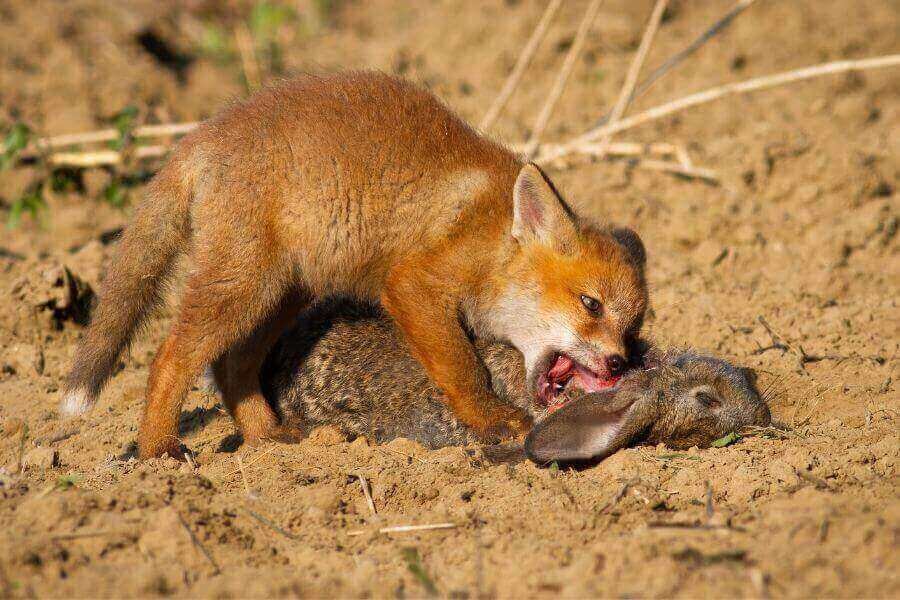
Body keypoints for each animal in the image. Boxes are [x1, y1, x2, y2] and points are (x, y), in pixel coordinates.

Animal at [59, 71, 649, 459]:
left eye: (634, 325)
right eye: (590, 304)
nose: (620, 364)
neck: (491, 240)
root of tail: (205, 132)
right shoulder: (413, 286)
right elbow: (464, 368)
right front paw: (492, 419)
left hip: (281, 294)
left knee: (232, 367)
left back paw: (266, 436)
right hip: (243, 288)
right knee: (168, 358)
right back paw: (158, 450)